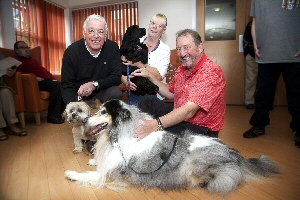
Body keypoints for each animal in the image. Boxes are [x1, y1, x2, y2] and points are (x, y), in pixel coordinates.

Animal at [63, 99, 282, 194]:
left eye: (102, 112)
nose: (84, 120)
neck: (117, 134)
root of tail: (235, 154)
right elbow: (98, 163)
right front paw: (93, 160)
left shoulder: (112, 174)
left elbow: (93, 175)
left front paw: (71, 173)